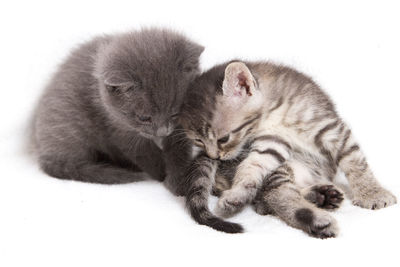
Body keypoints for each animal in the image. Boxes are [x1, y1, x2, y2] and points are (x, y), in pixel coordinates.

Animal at [32, 28, 205, 184]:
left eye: (175, 114)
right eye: (144, 118)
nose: (162, 132)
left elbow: (179, 148)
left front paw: (179, 177)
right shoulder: (118, 127)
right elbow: (145, 153)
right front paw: (165, 176)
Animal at [180, 60, 396, 237]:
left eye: (223, 139)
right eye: (198, 141)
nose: (214, 156)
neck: (274, 115)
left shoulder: (331, 130)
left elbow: (354, 161)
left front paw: (373, 193)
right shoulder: (271, 141)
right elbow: (252, 166)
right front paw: (238, 192)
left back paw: (321, 197)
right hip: (281, 169)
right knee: (276, 196)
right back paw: (317, 216)